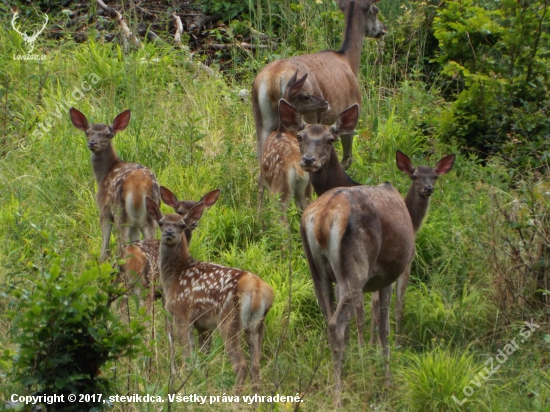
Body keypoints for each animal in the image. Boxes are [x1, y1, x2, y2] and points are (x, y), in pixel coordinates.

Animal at [69, 107, 160, 260]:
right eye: (87, 132)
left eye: (107, 134)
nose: (92, 143)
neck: (105, 173)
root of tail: (138, 185)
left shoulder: (104, 208)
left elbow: (105, 243)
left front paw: (101, 261)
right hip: (150, 215)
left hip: (120, 213)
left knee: (121, 246)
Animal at [147, 198, 276, 392]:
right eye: (161, 222)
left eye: (182, 224)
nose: (169, 232)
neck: (175, 276)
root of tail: (257, 290)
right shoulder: (204, 325)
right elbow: (203, 360)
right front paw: (201, 384)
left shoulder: (181, 314)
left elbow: (188, 356)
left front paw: (185, 385)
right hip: (257, 325)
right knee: (255, 366)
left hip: (228, 321)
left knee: (241, 365)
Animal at [252, 0, 386, 169]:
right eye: (375, 10)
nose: (383, 28)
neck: (349, 61)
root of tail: (274, 80)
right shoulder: (352, 110)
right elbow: (347, 160)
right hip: (308, 116)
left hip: (262, 121)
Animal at [370, 151, 458, 348]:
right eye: (415, 176)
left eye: (435, 176)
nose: (428, 188)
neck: (414, 225)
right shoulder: (405, 264)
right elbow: (399, 305)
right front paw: (397, 342)